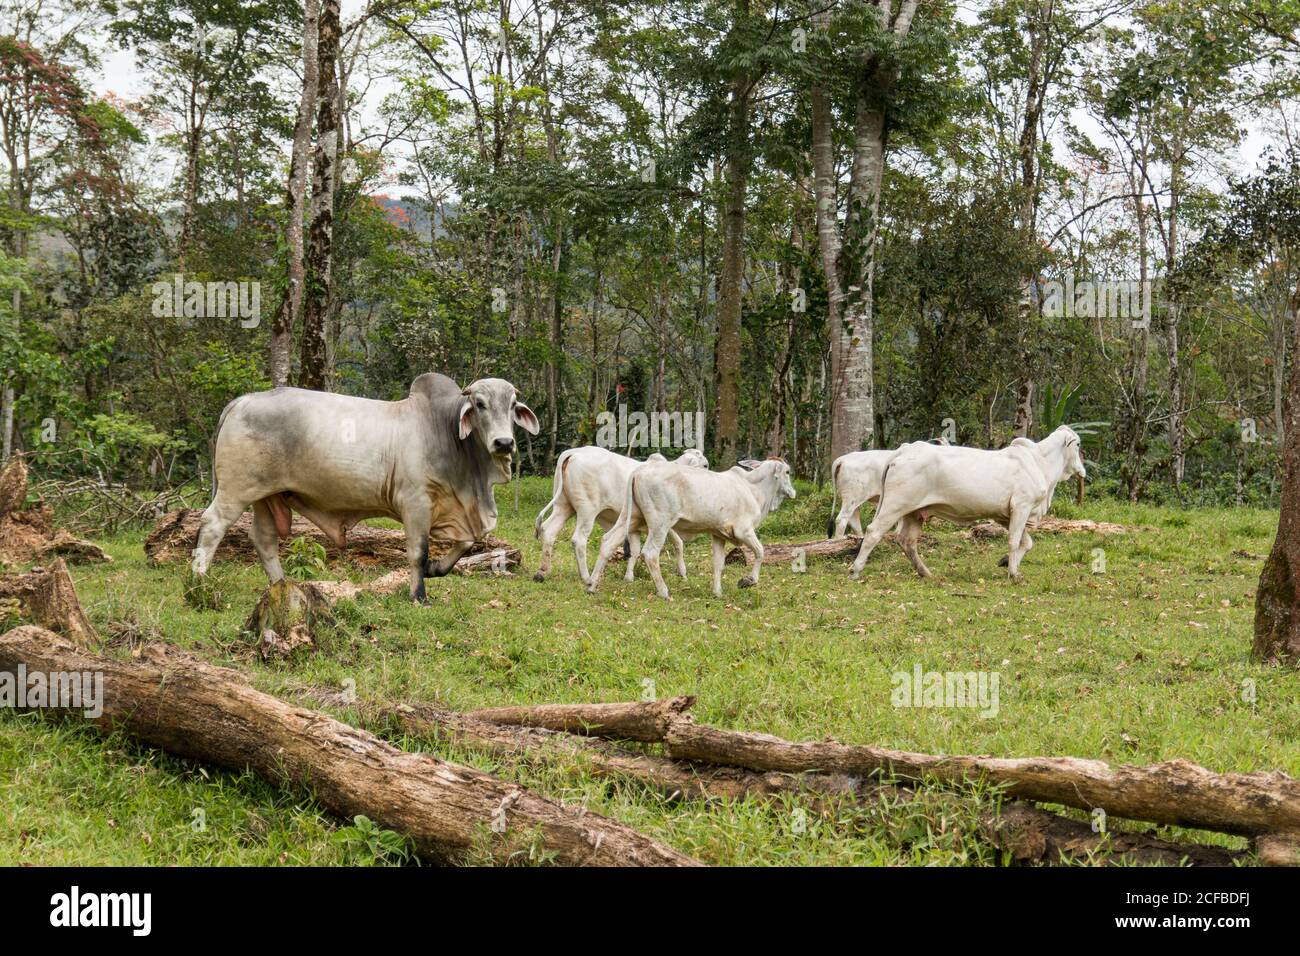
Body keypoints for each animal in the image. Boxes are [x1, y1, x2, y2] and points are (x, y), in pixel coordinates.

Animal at [190, 374, 538, 603]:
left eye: (512, 404)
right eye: (479, 404)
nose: (503, 443)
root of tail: (243, 400)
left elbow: (465, 543)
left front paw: (434, 569)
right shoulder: (415, 503)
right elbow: (417, 552)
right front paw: (418, 595)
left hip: (267, 496)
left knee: (263, 539)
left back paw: (281, 585)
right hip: (236, 490)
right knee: (212, 525)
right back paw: (198, 582)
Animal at [532, 446, 709, 584]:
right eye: (705, 465)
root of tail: (573, 453)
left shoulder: (637, 526)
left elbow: (635, 550)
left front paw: (629, 577)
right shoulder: (664, 521)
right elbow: (678, 543)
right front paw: (683, 573)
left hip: (563, 506)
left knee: (549, 530)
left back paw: (542, 571)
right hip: (587, 510)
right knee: (579, 540)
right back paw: (586, 577)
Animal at [586, 458, 797, 600]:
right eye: (787, 472)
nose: (793, 492)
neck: (753, 489)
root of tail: (640, 470)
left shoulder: (718, 534)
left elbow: (718, 564)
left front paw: (717, 592)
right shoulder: (744, 531)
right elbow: (760, 552)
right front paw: (747, 581)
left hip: (632, 518)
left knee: (608, 541)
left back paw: (591, 585)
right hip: (660, 523)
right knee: (650, 553)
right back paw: (664, 591)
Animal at [847, 426, 1086, 582]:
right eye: (1078, 444)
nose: (1083, 470)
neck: (1040, 462)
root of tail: (904, 450)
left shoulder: (1005, 515)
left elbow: (1026, 543)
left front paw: (1007, 564)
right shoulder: (1021, 507)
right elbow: (1014, 541)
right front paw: (1013, 574)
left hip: (914, 512)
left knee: (907, 541)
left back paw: (926, 573)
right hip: (895, 505)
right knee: (873, 532)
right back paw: (855, 571)